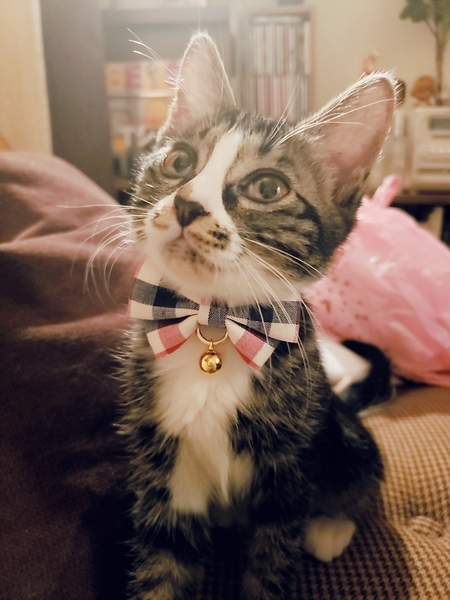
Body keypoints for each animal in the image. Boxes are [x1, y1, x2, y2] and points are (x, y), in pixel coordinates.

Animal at [121, 33, 395, 600]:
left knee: (359, 479)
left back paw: (329, 526)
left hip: (341, 434)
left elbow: (274, 556)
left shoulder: (288, 468)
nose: (186, 205)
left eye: (268, 189)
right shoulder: (164, 465)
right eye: (179, 161)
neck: (213, 323)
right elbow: (163, 559)